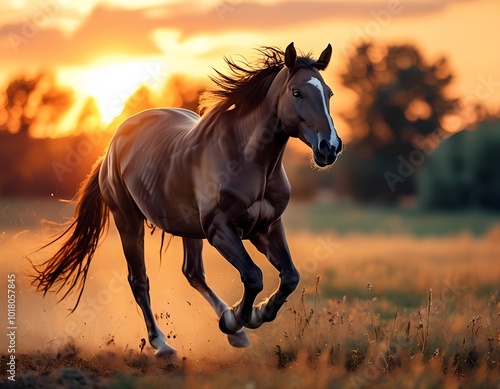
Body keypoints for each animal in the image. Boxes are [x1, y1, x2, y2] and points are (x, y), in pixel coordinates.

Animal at [33, 43, 342, 358]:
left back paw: (234, 333)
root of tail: (112, 145)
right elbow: (253, 275)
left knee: (193, 273)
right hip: (128, 220)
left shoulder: (266, 228)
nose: (330, 147)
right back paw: (162, 345)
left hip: (188, 229)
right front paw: (236, 318)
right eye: (297, 92)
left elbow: (289, 277)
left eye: (329, 93)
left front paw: (251, 316)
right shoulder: (220, 229)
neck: (248, 159)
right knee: (139, 280)